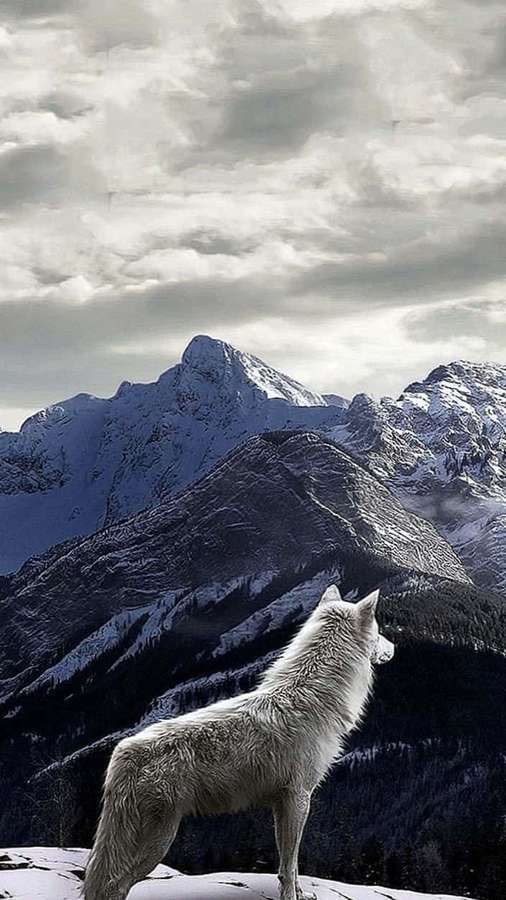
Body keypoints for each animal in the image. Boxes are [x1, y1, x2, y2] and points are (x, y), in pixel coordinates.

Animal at [84, 585, 394, 900]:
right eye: (379, 631)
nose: (393, 647)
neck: (313, 697)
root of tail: (123, 752)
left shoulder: (283, 804)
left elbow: (289, 865)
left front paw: (301, 893)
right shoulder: (299, 798)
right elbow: (290, 863)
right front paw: (292, 897)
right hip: (158, 843)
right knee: (113, 886)